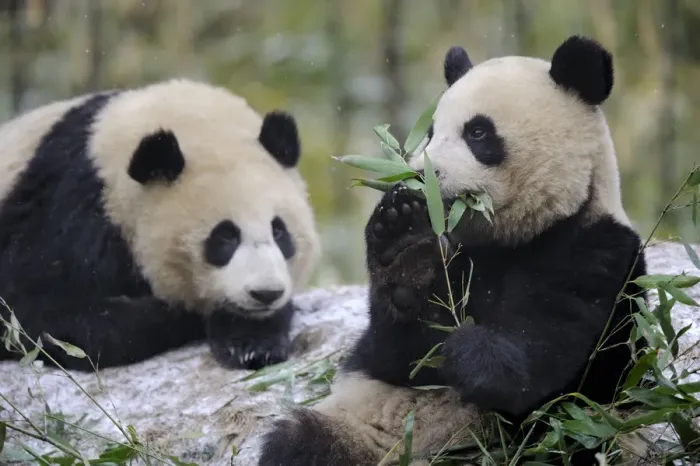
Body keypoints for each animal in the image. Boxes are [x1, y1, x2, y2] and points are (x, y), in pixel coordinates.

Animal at [0, 79, 321, 372]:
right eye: (225, 237)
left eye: (279, 231)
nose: (266, 293)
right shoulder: (67, 205)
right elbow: (39, 311)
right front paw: (186, 316)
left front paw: (252, 342)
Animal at [256, 35, 649, 466]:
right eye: (429, 132)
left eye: (477, 132)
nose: (420, 174)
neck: (515, 238)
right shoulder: (458, 261)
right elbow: (397, 356)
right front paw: (403, 245)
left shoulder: (598, 251)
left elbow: (554, 343)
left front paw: (473, 353)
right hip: (359, 428)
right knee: (298, 443)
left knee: (567, 439)